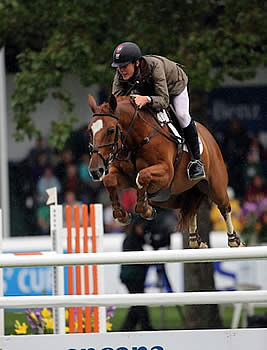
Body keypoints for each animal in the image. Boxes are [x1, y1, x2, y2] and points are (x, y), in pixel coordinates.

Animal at [87, 93, 245, 249]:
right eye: (90, 131)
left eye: (111, 130)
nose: (95, 170)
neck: (135, 140)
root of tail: (209, 136)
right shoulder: (124, 177)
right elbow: (110, 180)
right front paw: (122, 215)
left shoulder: (166, 173)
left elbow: (142, 176)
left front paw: (146, 209)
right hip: (173, 198)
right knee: (191, 207)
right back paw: (195, 241)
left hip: (215, 186)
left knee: (224, 207)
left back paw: (234, 240)